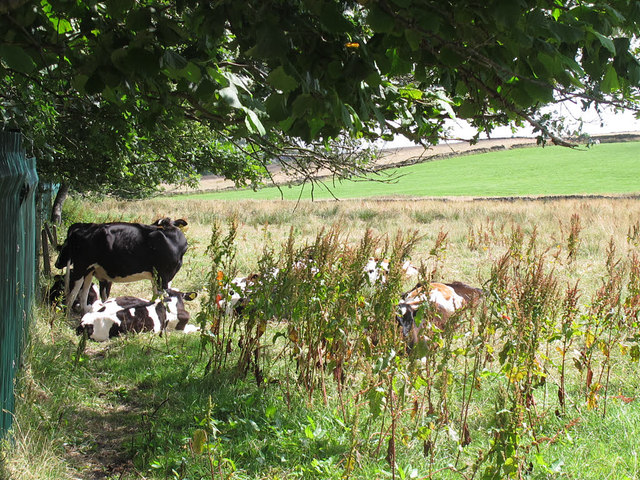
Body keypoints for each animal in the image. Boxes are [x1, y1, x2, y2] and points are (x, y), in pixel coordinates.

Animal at [55, 218, 188, 316]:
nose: (57, 263)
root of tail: (83, 226)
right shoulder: (165, 276)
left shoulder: (156, 277)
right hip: (81, 267)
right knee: (73, 293)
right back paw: (66, 316)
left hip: (89, 270)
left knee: (83, 292)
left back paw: (85, 312)